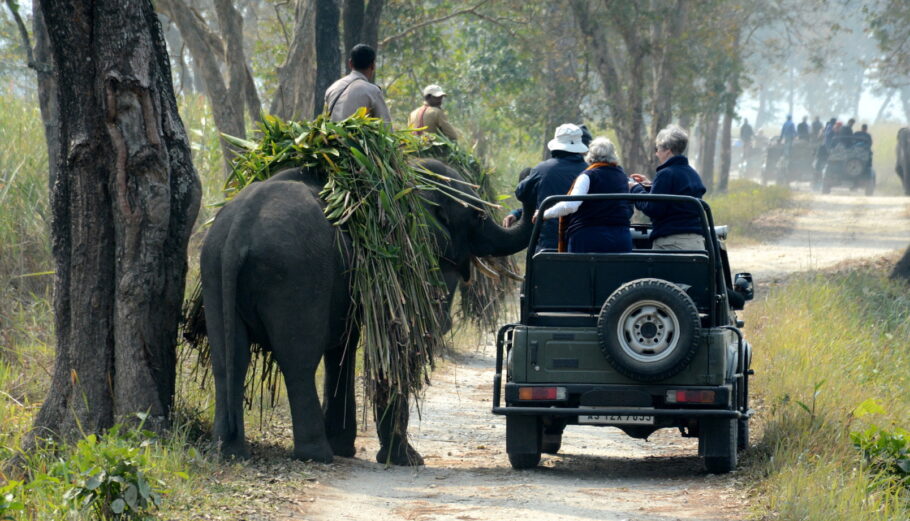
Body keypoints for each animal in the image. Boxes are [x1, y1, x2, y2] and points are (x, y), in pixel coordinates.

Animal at [200, 157, 536, 464]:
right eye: (478, 216)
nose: (528, 179)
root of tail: (239, 231)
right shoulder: (403, 259)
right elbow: (398, 346)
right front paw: (406, 459)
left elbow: (344, 346)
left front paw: (349, 447)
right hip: (294, 274)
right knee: (298, 360)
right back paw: (317, 456)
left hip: (214, 268)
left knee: (229, 359)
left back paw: (229, 452)